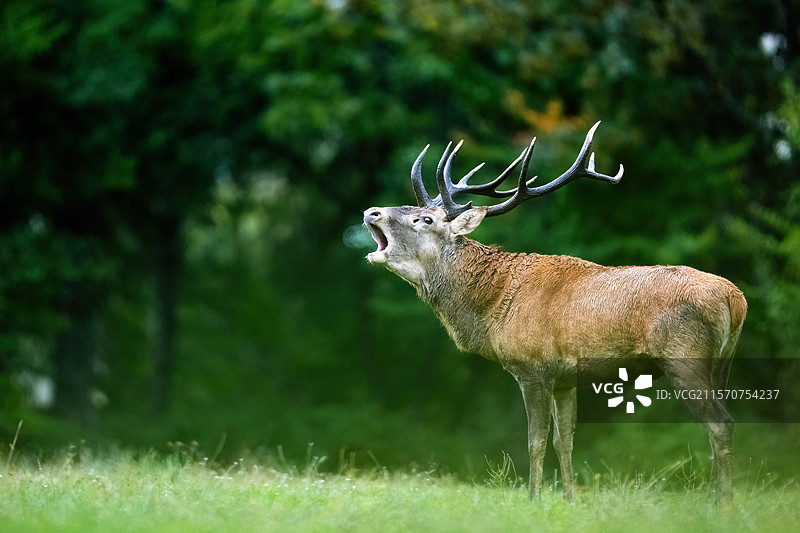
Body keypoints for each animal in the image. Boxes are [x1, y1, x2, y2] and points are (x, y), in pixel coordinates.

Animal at [363, 122, 747, 502]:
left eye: (424, 218)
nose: (371, 212)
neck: (493, 308)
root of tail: (736, 299)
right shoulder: (566, 378)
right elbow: (565, 441)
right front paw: (569, 499)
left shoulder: (534, 367)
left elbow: (536, 441)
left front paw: (533, 498)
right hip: (723, 363)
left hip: (684, 355)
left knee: (720, 422)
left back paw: (723, 503)